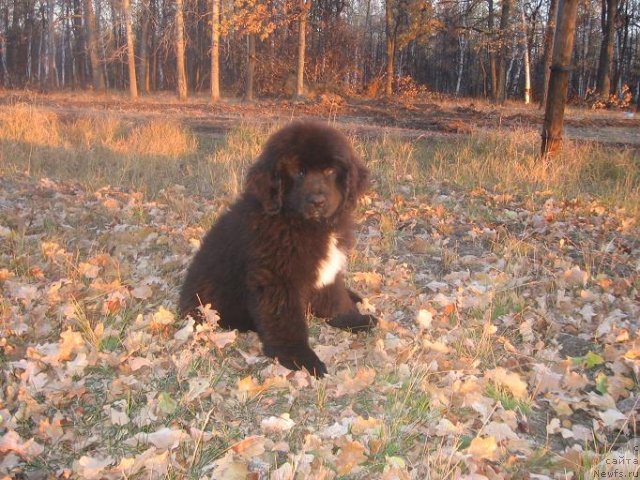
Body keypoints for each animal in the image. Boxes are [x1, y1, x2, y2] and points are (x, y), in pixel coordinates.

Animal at [178, 120, 378, 376]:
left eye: (330, 171)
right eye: (299, 172)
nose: (318, 202)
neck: (299, 222)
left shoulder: (327, 272)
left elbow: (335, 299)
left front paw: (353, 320)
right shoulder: (277, 278)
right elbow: (287, 321)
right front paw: (300, 359)